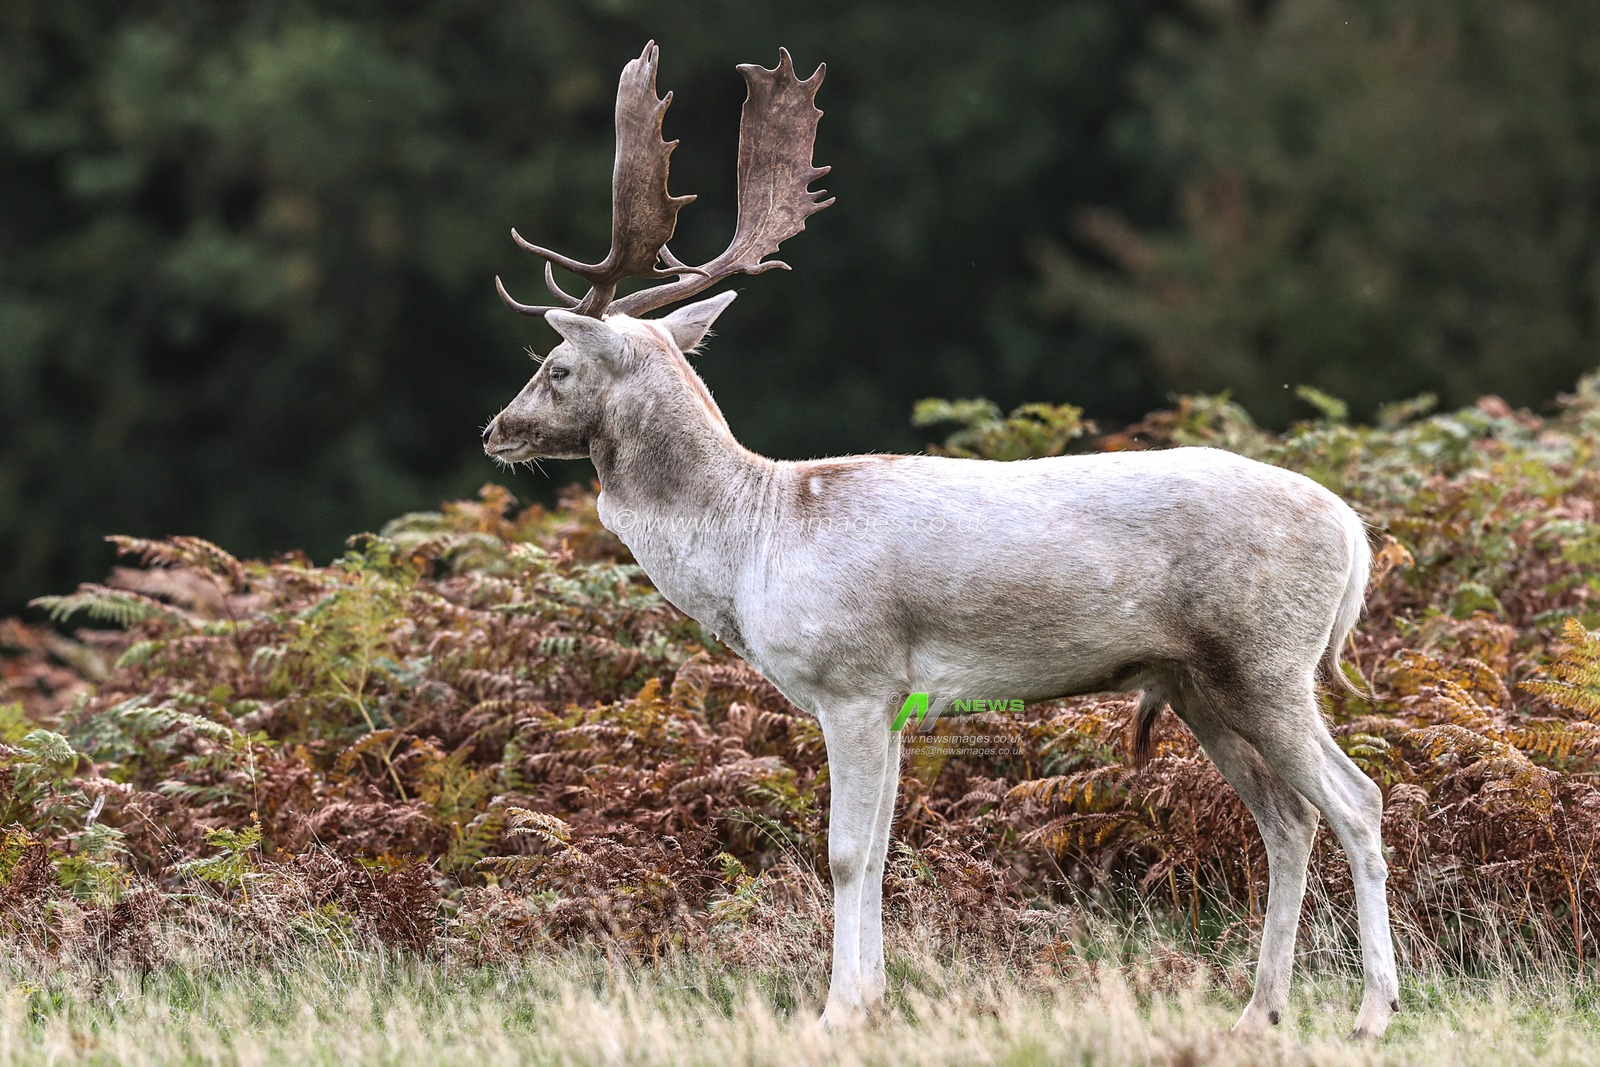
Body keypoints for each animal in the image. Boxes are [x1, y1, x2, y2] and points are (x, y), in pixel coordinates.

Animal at [482, 42, 1400, 1040]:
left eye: (555, 366)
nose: (495, 430)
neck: (755, 537)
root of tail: (1353, 533)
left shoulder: (851, 678)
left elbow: (846, 850)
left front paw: (836, 1010)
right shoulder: (892, 698)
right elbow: (884, 846)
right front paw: (877, 997)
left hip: (1267, 656)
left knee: (1358, 802)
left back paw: (1372, 1011)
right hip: (1198, 682)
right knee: (1287, 820)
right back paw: (1256, 1012)